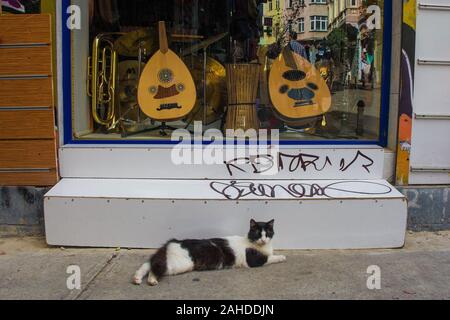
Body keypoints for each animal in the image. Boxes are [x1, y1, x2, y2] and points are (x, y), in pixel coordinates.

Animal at [134, 220, 286, 284]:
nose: (264, 240)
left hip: (167, 259)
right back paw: (152, 279)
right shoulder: (254, 260)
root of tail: (172, 242)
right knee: (156, 267)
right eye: (258, 234)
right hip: (180, 265)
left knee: (149, 263)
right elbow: (270, 257)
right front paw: (282, 257)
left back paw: (137, 278)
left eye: (268, 233)